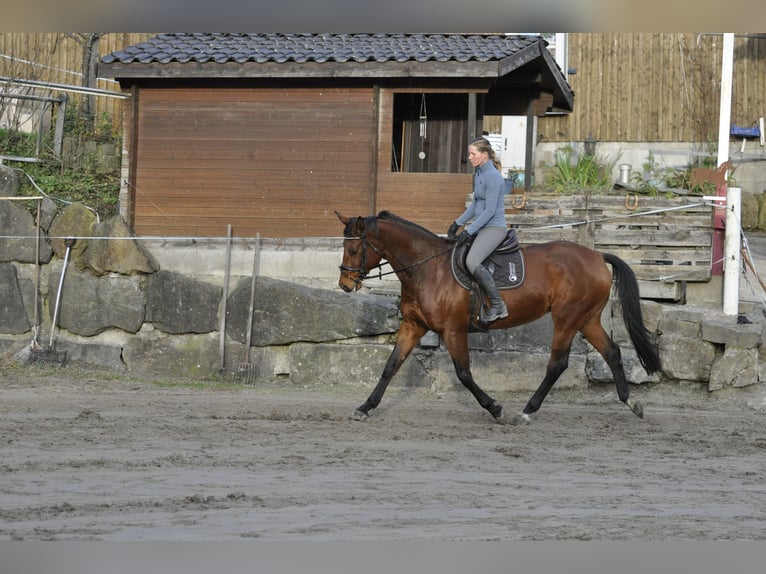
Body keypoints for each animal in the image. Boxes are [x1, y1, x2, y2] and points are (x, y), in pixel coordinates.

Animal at [335, 210, 662, 425]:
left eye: (352, 248)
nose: (345, 285)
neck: (427, 268)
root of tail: (596, 256)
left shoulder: (453, 331)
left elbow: (464, 374)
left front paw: (496, 408)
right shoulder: (413, 326)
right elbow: (390, 367)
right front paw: (365, 407)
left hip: (567, 319)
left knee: (557, 364)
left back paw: (527, 411)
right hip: (587, 319)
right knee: (612, 352)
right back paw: (631, 402)